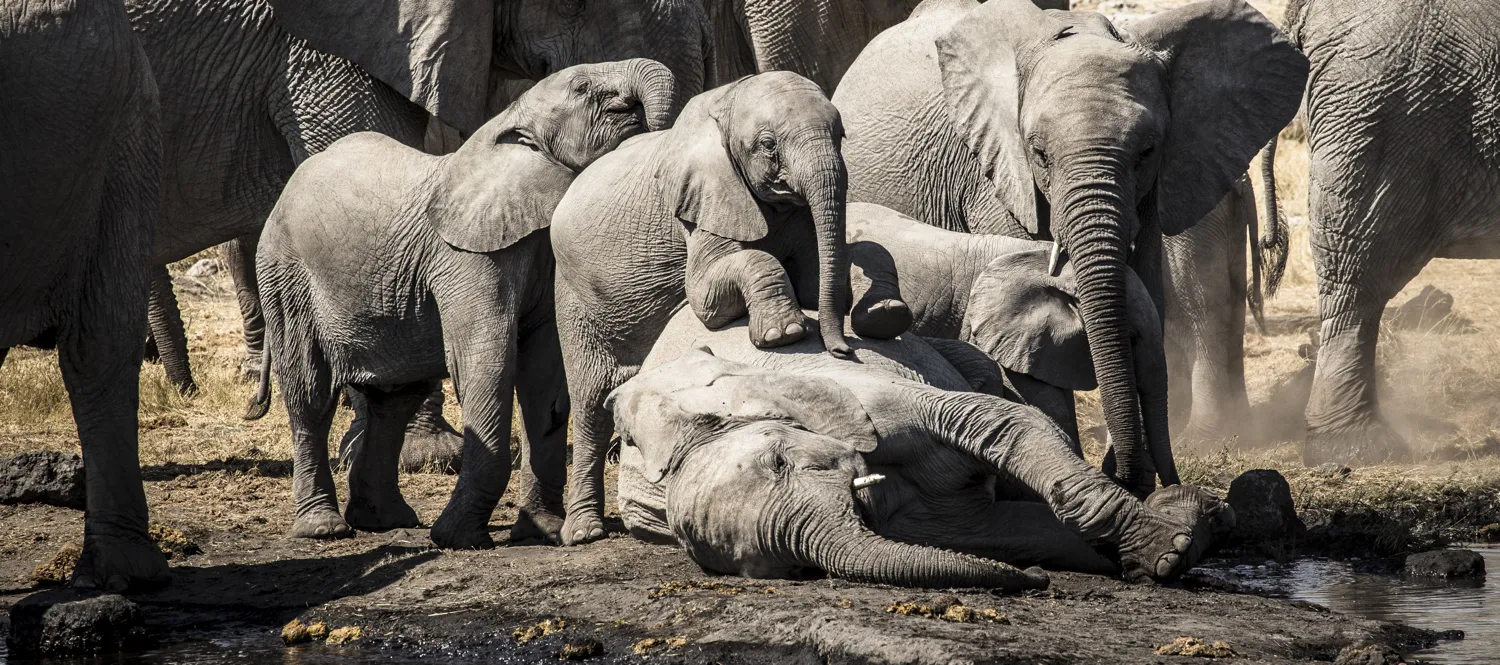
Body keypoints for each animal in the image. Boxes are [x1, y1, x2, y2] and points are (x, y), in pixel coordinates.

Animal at [242, 59, 678, 547]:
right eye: (583, 88)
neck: (507, 127)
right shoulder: (467, 258)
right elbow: (486, 361)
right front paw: (457, 538)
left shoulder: (540, 250)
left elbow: (544, 375)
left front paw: (541, 532)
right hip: (285, 274)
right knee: (311, 394)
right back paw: (324, 528)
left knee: (395, 398)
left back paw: (384, 520)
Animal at [551, 71, 907, 545]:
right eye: (768, 145)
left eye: (841, 135)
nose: (842, 350)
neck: (727, 101)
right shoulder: (703, 204)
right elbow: (708, 298)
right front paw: (784, 335)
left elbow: (829, 273)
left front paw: (885, 314)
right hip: (574, 294)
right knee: (590, 403)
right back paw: (584, 533)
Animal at [610, 306, 1234, 586]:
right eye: (785, 568)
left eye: (780, 462)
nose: (1036, 581)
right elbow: (994, 529)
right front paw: (1148, 555)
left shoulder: (855, 394)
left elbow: (997, 421)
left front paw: (1169, 548)